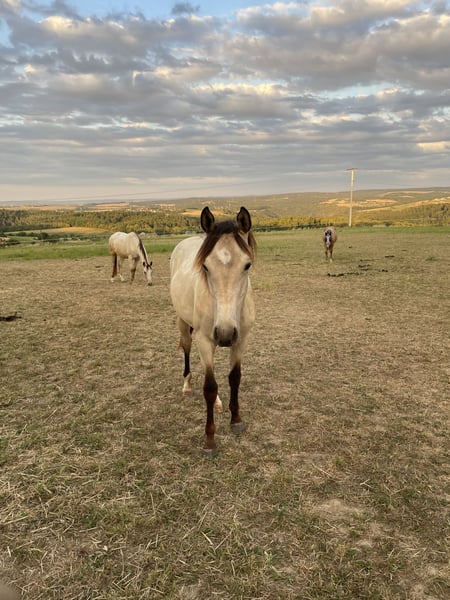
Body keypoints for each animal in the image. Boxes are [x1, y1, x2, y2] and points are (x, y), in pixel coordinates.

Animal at [170, 206, 256, 456]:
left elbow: (235, 378)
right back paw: (187, 386)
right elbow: (209, 387)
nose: (225, 332)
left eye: (247, 265)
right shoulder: (205, 340)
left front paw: (236, 420)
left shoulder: (241, 340)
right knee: (187, 350)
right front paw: (210, 440)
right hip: (184, 325)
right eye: (205, 266)